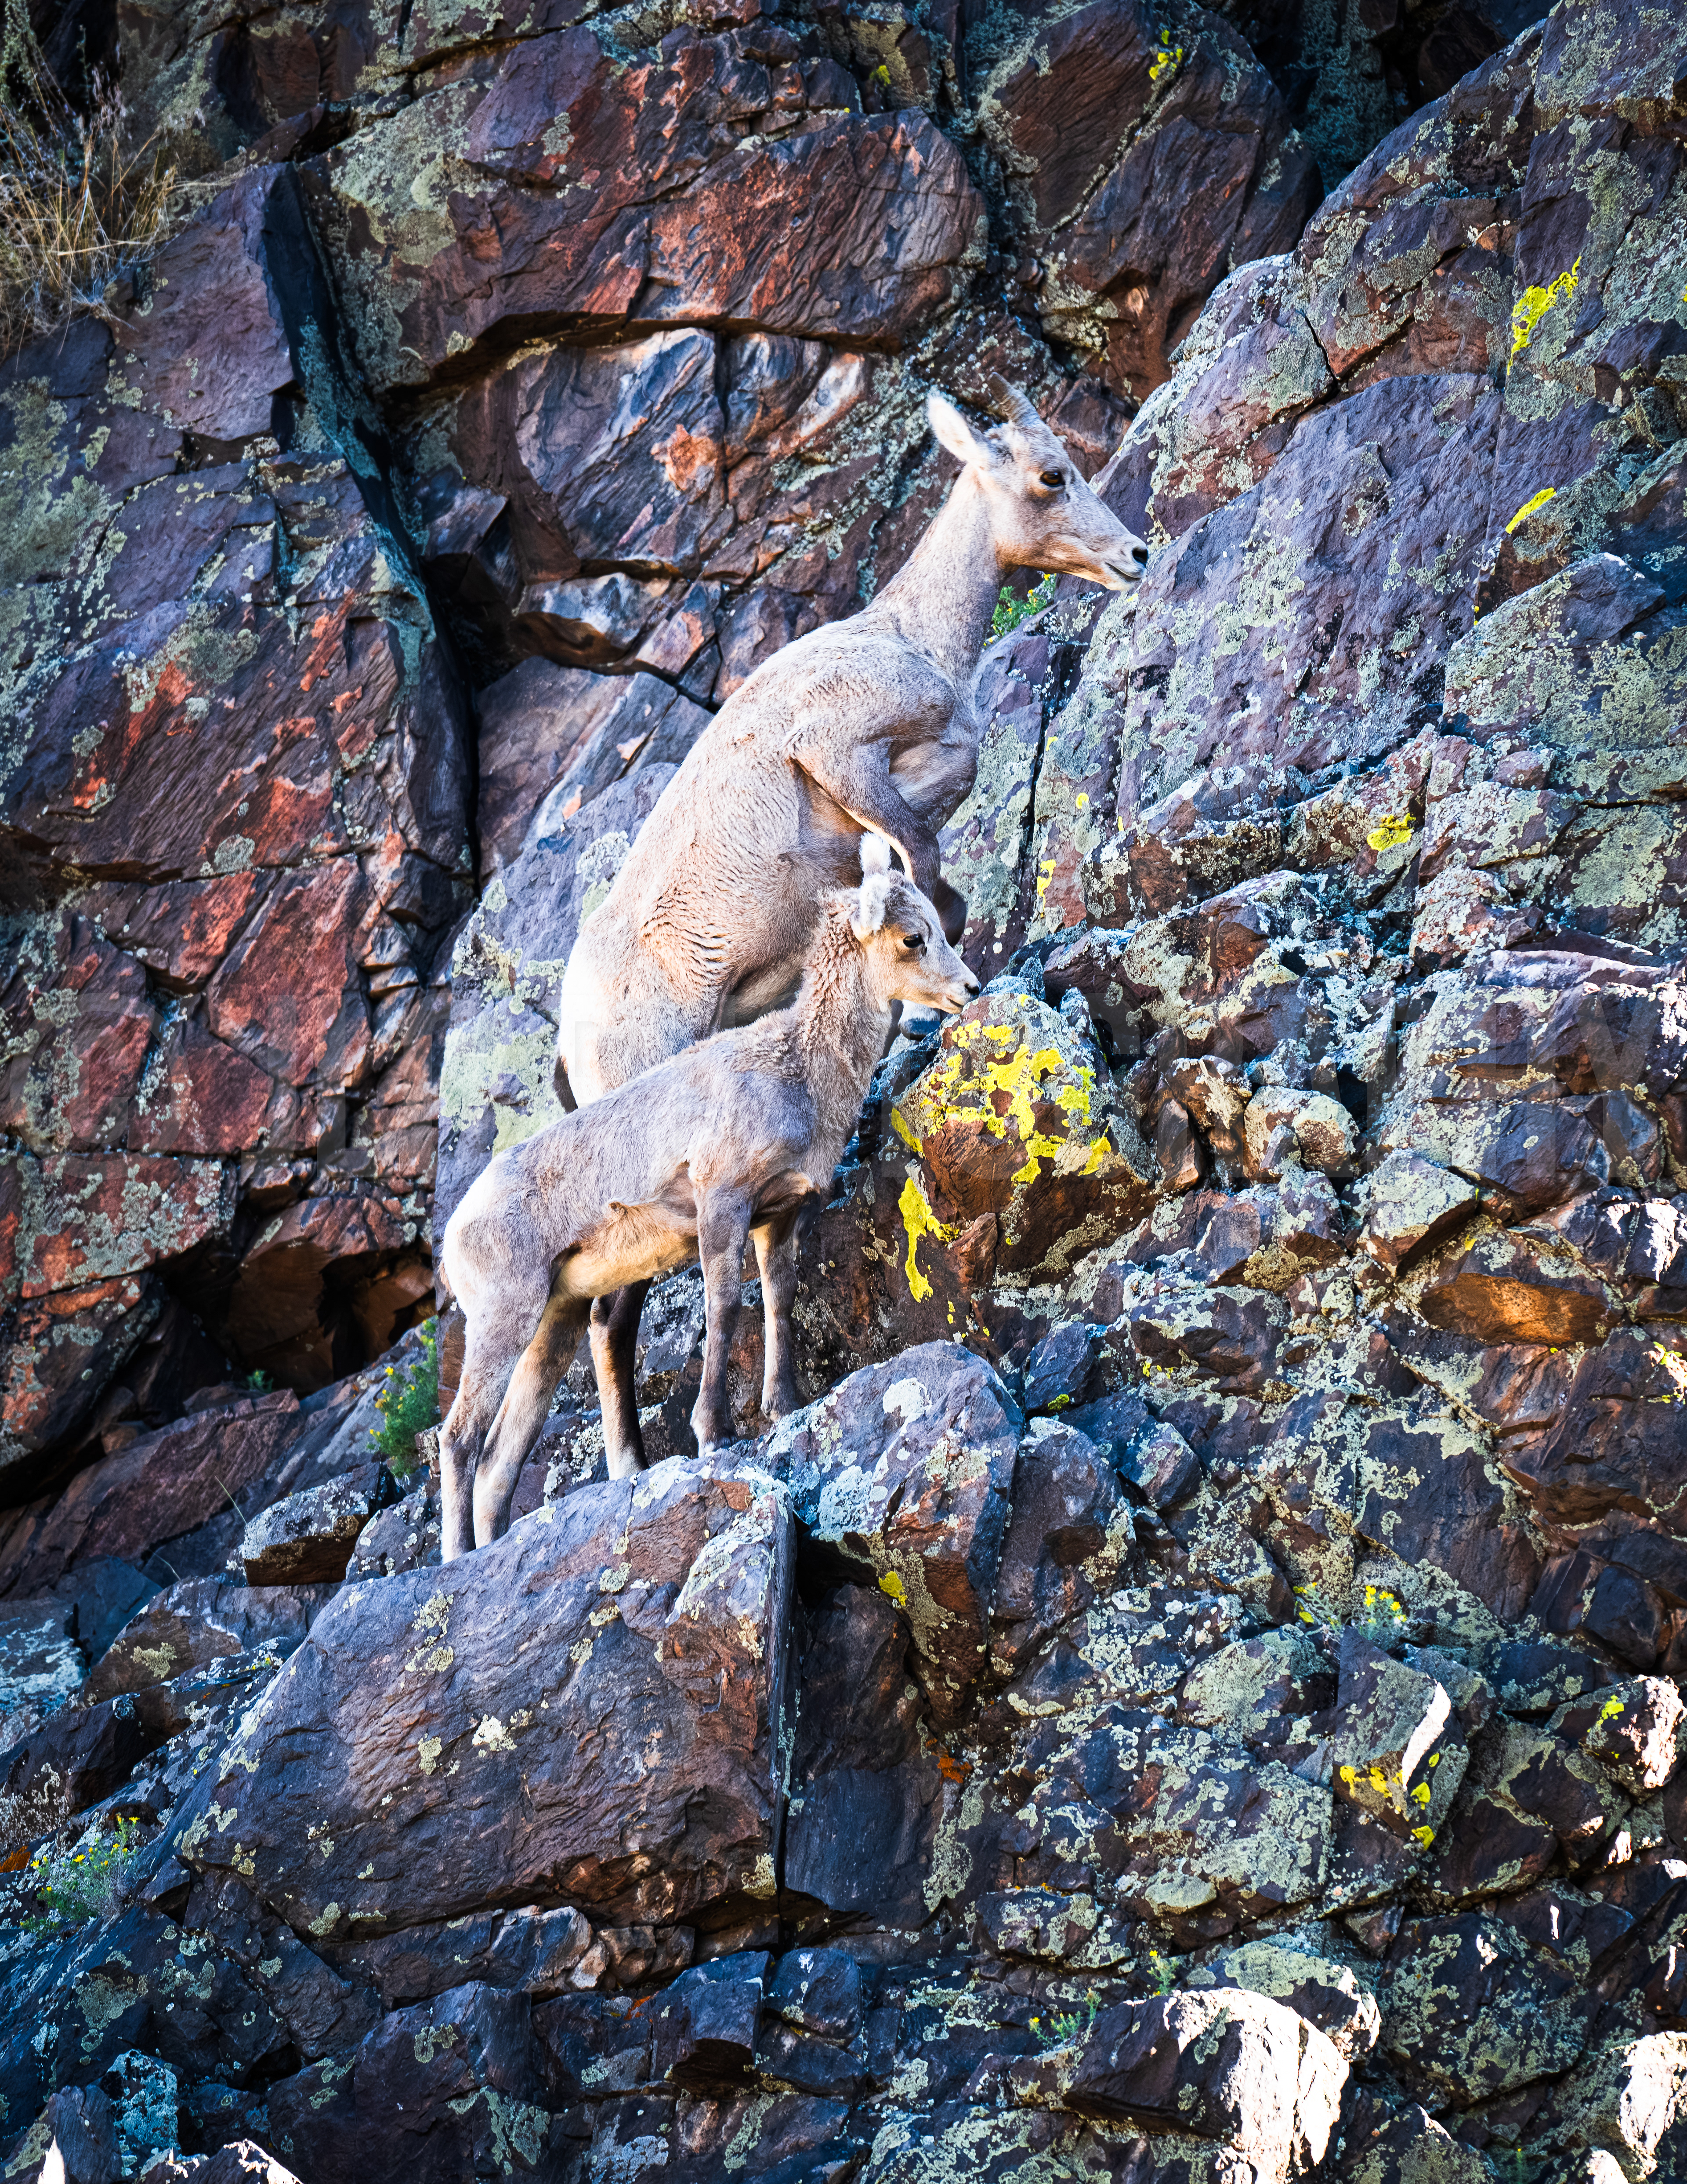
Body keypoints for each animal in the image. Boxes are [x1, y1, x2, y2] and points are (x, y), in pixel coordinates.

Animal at [438, 838, 980, 1559]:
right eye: (913, 937)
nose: (968, 988)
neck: (800, 1071)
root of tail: (453, 1238)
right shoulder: (721, 1202)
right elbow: (724, 1308)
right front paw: (714, 1432)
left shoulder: (779, 1217)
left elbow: (778, 1300)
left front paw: (784, 1406)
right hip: (503, 1318)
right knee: (459, 1438)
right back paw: (456, 1558)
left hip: (554, 1321)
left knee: (500, 1459)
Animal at [552, 376, 1148, 1476]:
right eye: (1053, 475)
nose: (1132, 556)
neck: (909, 638)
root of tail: (573, 1045)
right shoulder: (843, 761)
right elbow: (936, 885)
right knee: (612, 1318)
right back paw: (635, 1464)